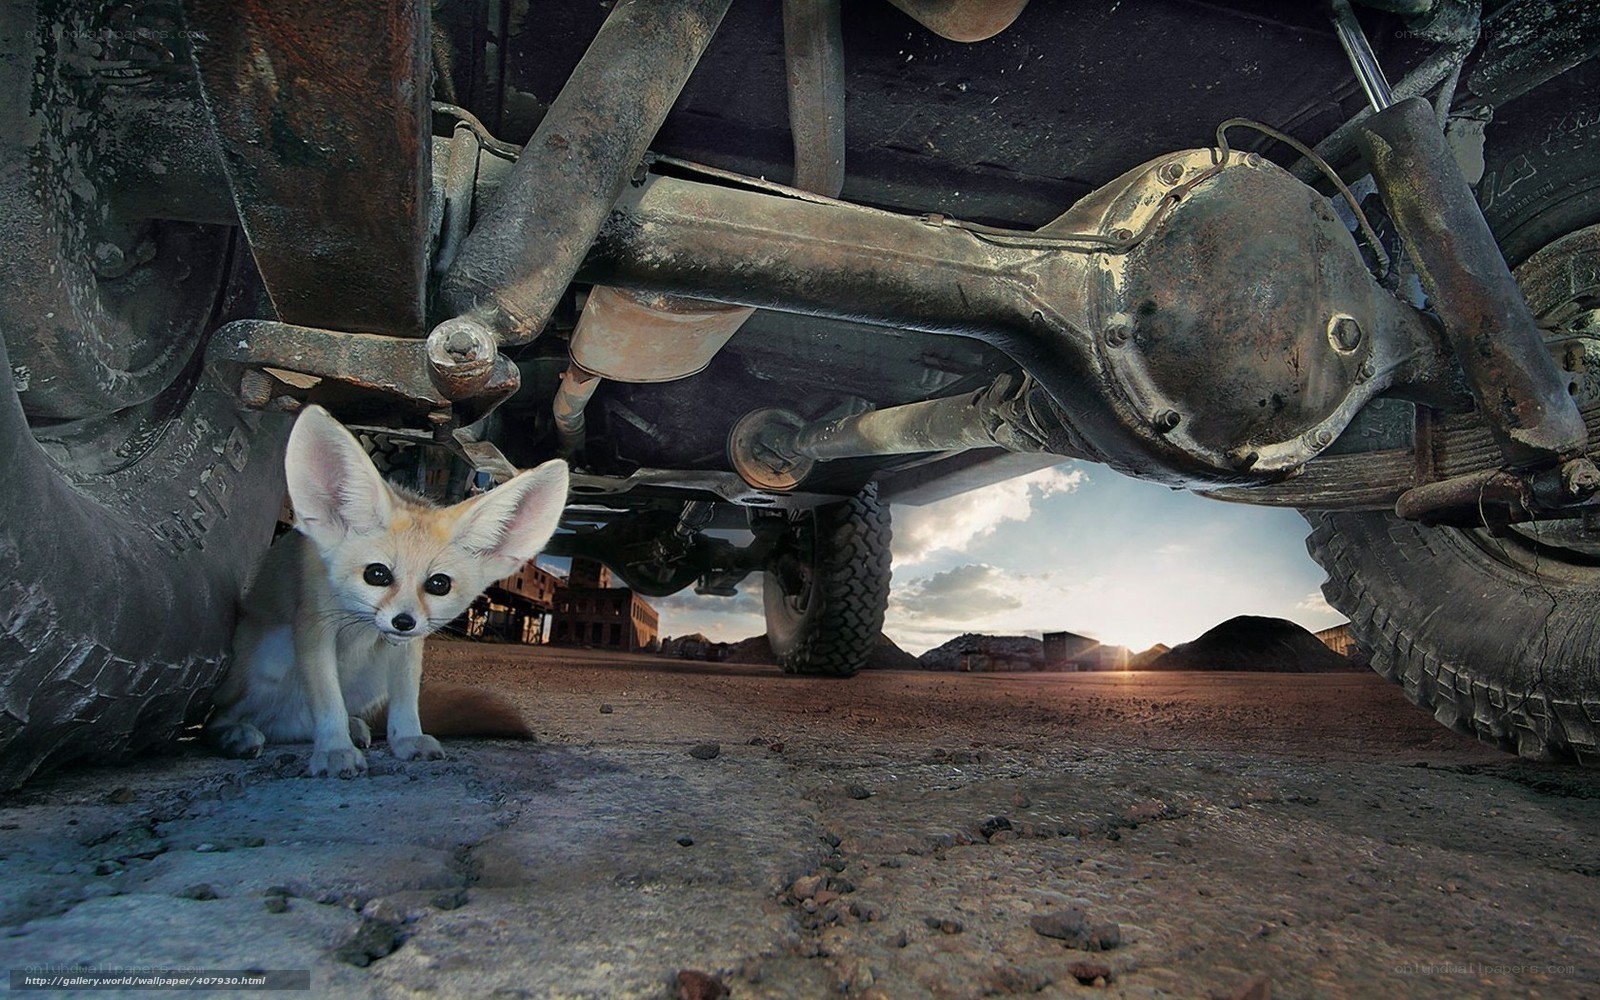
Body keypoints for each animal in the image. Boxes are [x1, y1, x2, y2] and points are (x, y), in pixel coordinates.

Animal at [206, 404, 569, 778]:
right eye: (376, 574)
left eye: (439, 584)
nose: (403, 622)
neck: (359, 626)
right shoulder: (314, 626)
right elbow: (328, 701)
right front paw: (334, 749)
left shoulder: (408, 648)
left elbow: (406, 700)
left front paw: (407, 738)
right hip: (271, 654)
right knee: (221, 720)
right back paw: (236, 734)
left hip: (370, 677)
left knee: (295, 726)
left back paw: (348, 727)